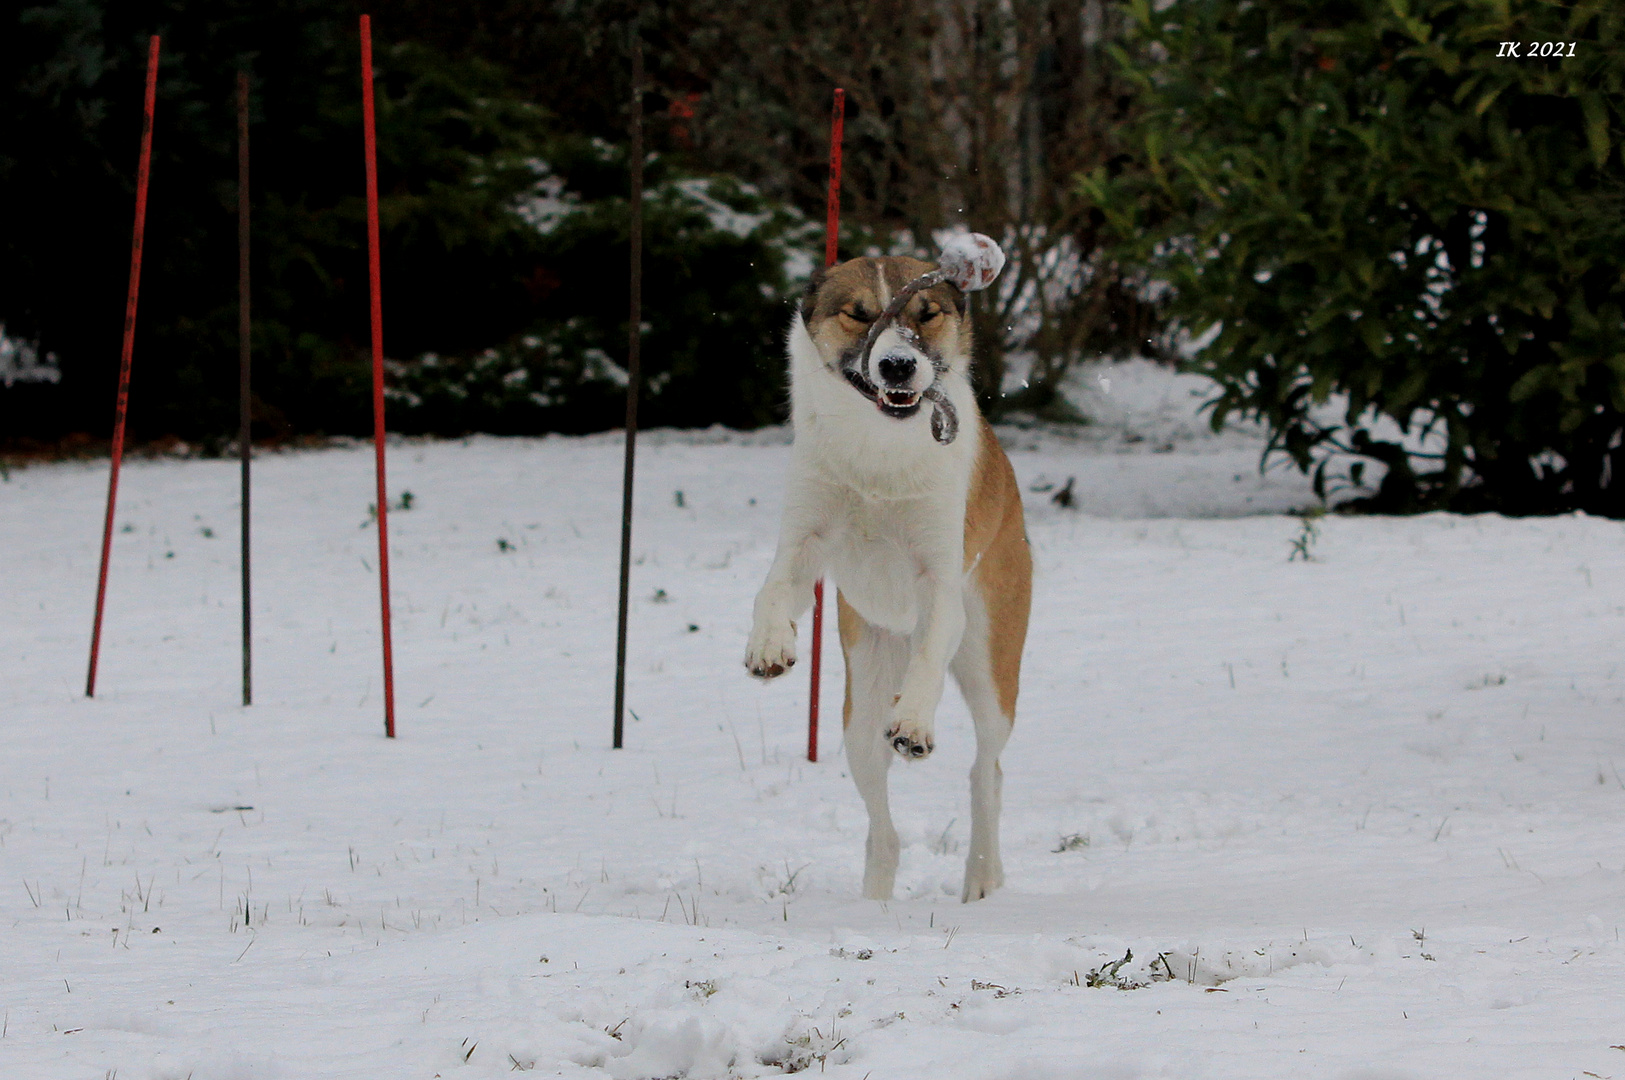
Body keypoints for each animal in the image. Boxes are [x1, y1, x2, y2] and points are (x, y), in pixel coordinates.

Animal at [744, 253, 1033, 902]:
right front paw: (770, 645)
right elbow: (773, 587)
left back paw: (983, 877)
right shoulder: (807, 538)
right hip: (861, 706)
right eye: (858, 314)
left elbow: (929, 657)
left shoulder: (940, 579)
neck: (881, 446)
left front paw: (915, 724)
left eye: (927, 314)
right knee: (884, 827)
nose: (898, 364)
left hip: (991, 667)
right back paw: (875, 899)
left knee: (987, 772)